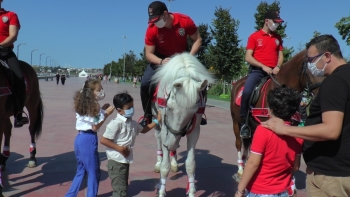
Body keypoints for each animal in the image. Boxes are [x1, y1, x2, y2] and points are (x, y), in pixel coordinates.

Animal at [150, 52, 213, 197]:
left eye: (193, 112)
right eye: (170, 107)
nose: (170, 144)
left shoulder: (194, 131)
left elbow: (190, 164)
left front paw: (191, 192)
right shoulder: (165, 129)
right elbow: (165, 166)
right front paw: (161, 191)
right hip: (157, 124)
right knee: (158, 140)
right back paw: (158, 162)